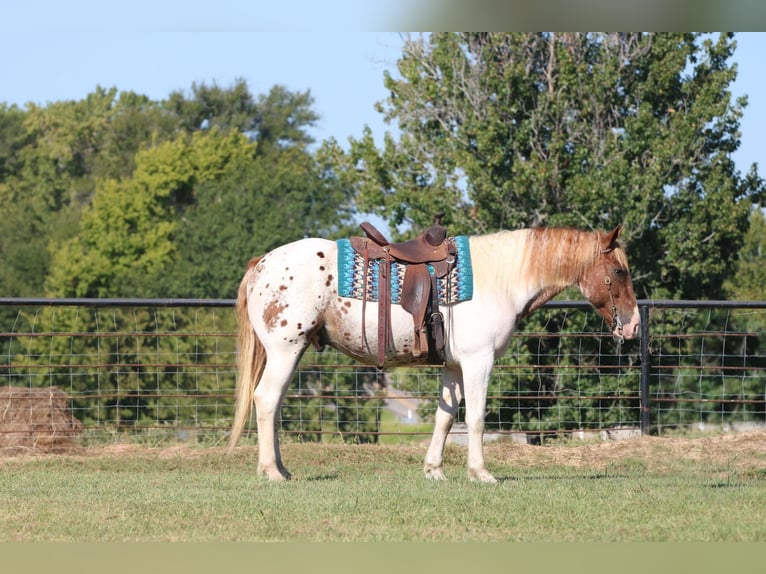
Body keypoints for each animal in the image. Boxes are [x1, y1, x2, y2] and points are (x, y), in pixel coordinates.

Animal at [228, 223, 640, 484]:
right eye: (619, 272)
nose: (633, 326)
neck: (499, 280)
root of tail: (261, 265)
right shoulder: (478, 361)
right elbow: (474, 418)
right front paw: (481, 473)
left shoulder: (455, 365)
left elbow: (445, 418)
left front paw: (434, 470)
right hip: (285, 350)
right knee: (266, 401)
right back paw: (272, 471)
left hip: (290, 352)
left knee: (273, 405)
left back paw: (280, 468)